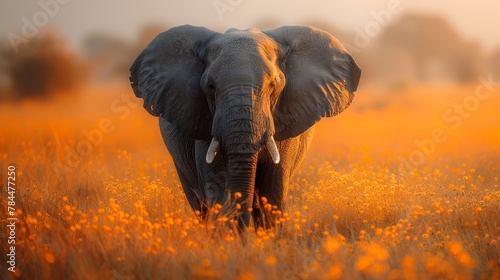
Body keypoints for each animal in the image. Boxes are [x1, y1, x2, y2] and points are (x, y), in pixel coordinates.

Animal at [131, 24, 362, 230]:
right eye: (210, 86)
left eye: (273, 86)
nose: (244, 238)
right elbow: (216, 187)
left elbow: (274, 188)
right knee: (198, 202)